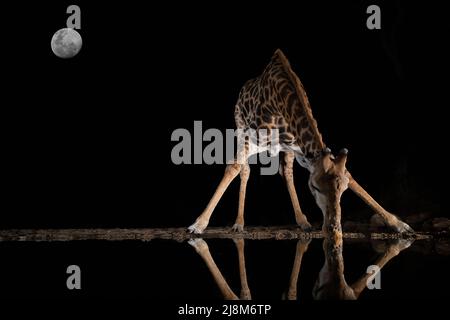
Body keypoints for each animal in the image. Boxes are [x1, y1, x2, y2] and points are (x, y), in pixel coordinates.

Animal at [187, 49, 414, 235]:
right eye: (315, 188)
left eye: (343, 190)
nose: (333, 227)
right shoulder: (252, 138)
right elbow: (234, 167)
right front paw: (198, 224)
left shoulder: (301, 149)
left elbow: (347, 174)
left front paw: (399, 224)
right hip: (241, 130)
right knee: (244, 169)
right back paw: (239, 223)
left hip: (285, 149)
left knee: (285, 171)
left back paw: (303, 222)